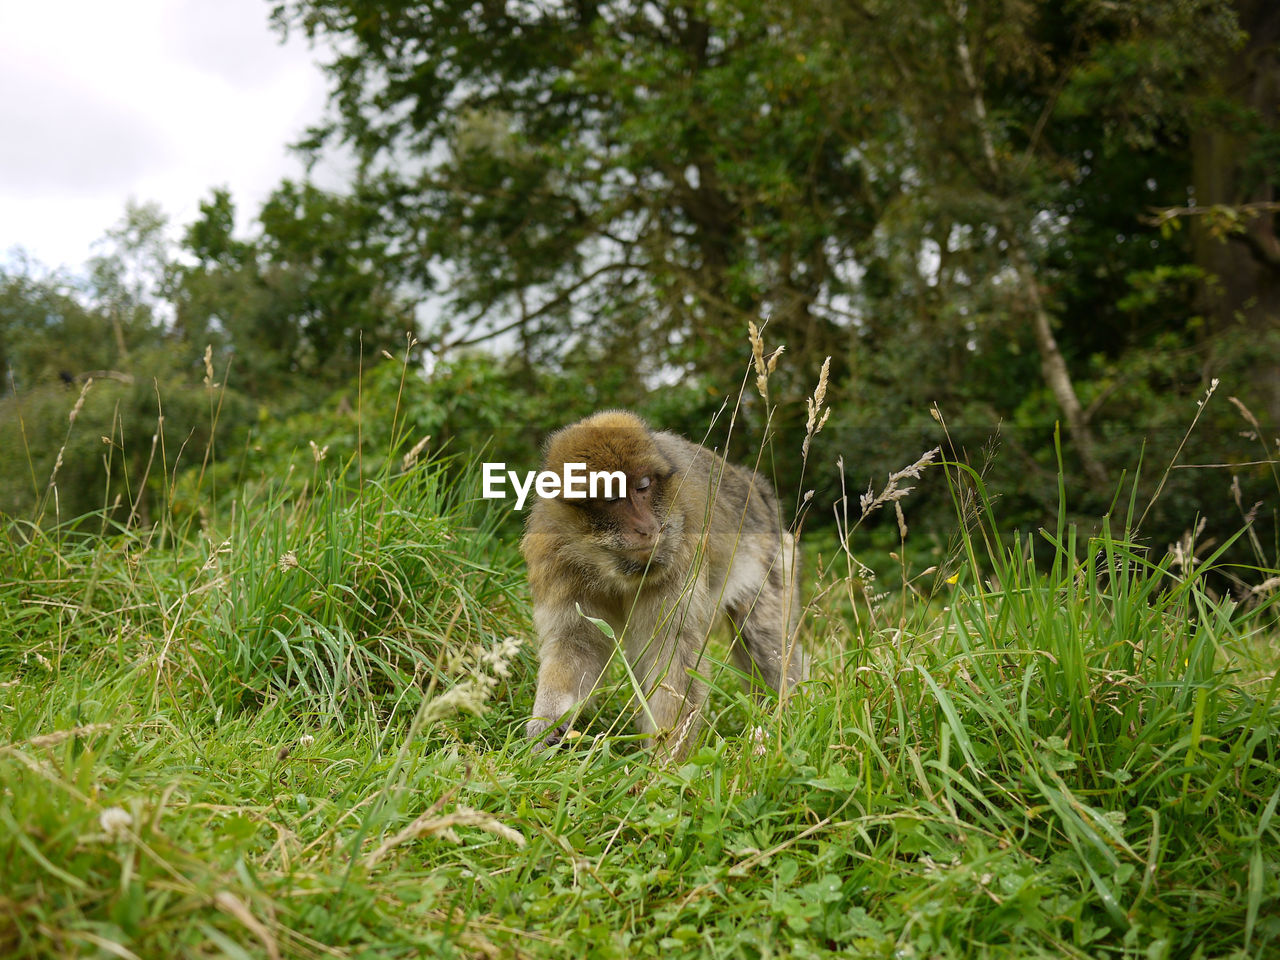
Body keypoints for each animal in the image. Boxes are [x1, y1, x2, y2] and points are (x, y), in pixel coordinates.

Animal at [522, 409, 808, 762]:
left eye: (643, 486)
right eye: (614, 497)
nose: (647, 528)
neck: (609, 566)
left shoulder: (682, 548)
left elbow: (672, 652)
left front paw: (665, 760)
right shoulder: (556, 559)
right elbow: (576, 644)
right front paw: (546, 727)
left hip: (776, 561)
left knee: (763, 639)